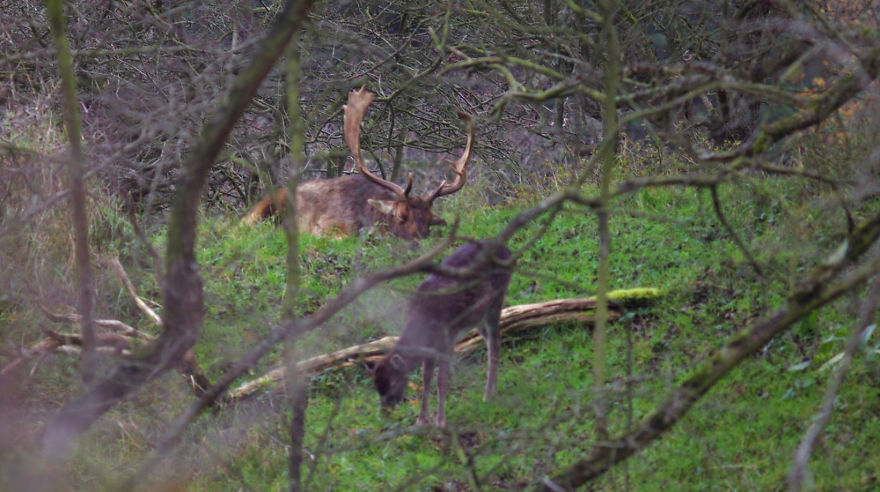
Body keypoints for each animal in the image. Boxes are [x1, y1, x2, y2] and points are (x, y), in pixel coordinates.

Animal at [366, 240, 513, 427]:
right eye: (376, 386)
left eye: (393, 383)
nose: (386, 411)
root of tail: (507, 250)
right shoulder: (431, 347)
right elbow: (426, 378)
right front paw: (421, 419)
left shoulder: (447, 338)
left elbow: (441, 379)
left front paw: (441, 420)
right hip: (477, 318)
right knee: (491, 341)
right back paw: (492, 390)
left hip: (496, 298)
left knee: (495, 342)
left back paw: (488, 395)